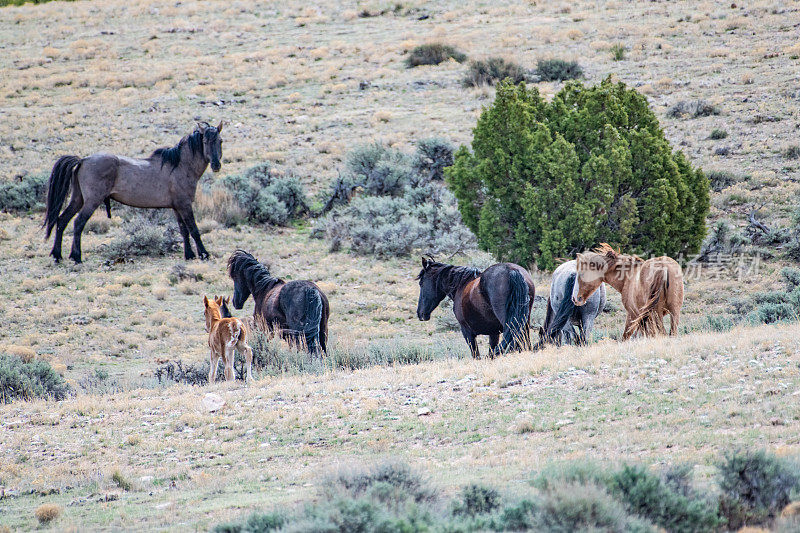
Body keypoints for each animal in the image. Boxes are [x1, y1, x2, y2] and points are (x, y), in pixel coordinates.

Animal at [45, 120, 223, 262]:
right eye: (205, 141)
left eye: (220, 141)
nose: (216, 165)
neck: (179, 166)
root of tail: (83, 160)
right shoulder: (185, 205)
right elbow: (194, 230)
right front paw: (204, 254)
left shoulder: (177, 207)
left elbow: (184, 230)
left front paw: (189, 255)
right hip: (91, 201)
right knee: (78, 223)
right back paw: (76, 257)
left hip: (78, 199)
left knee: (62, 220)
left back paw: (57, 255)